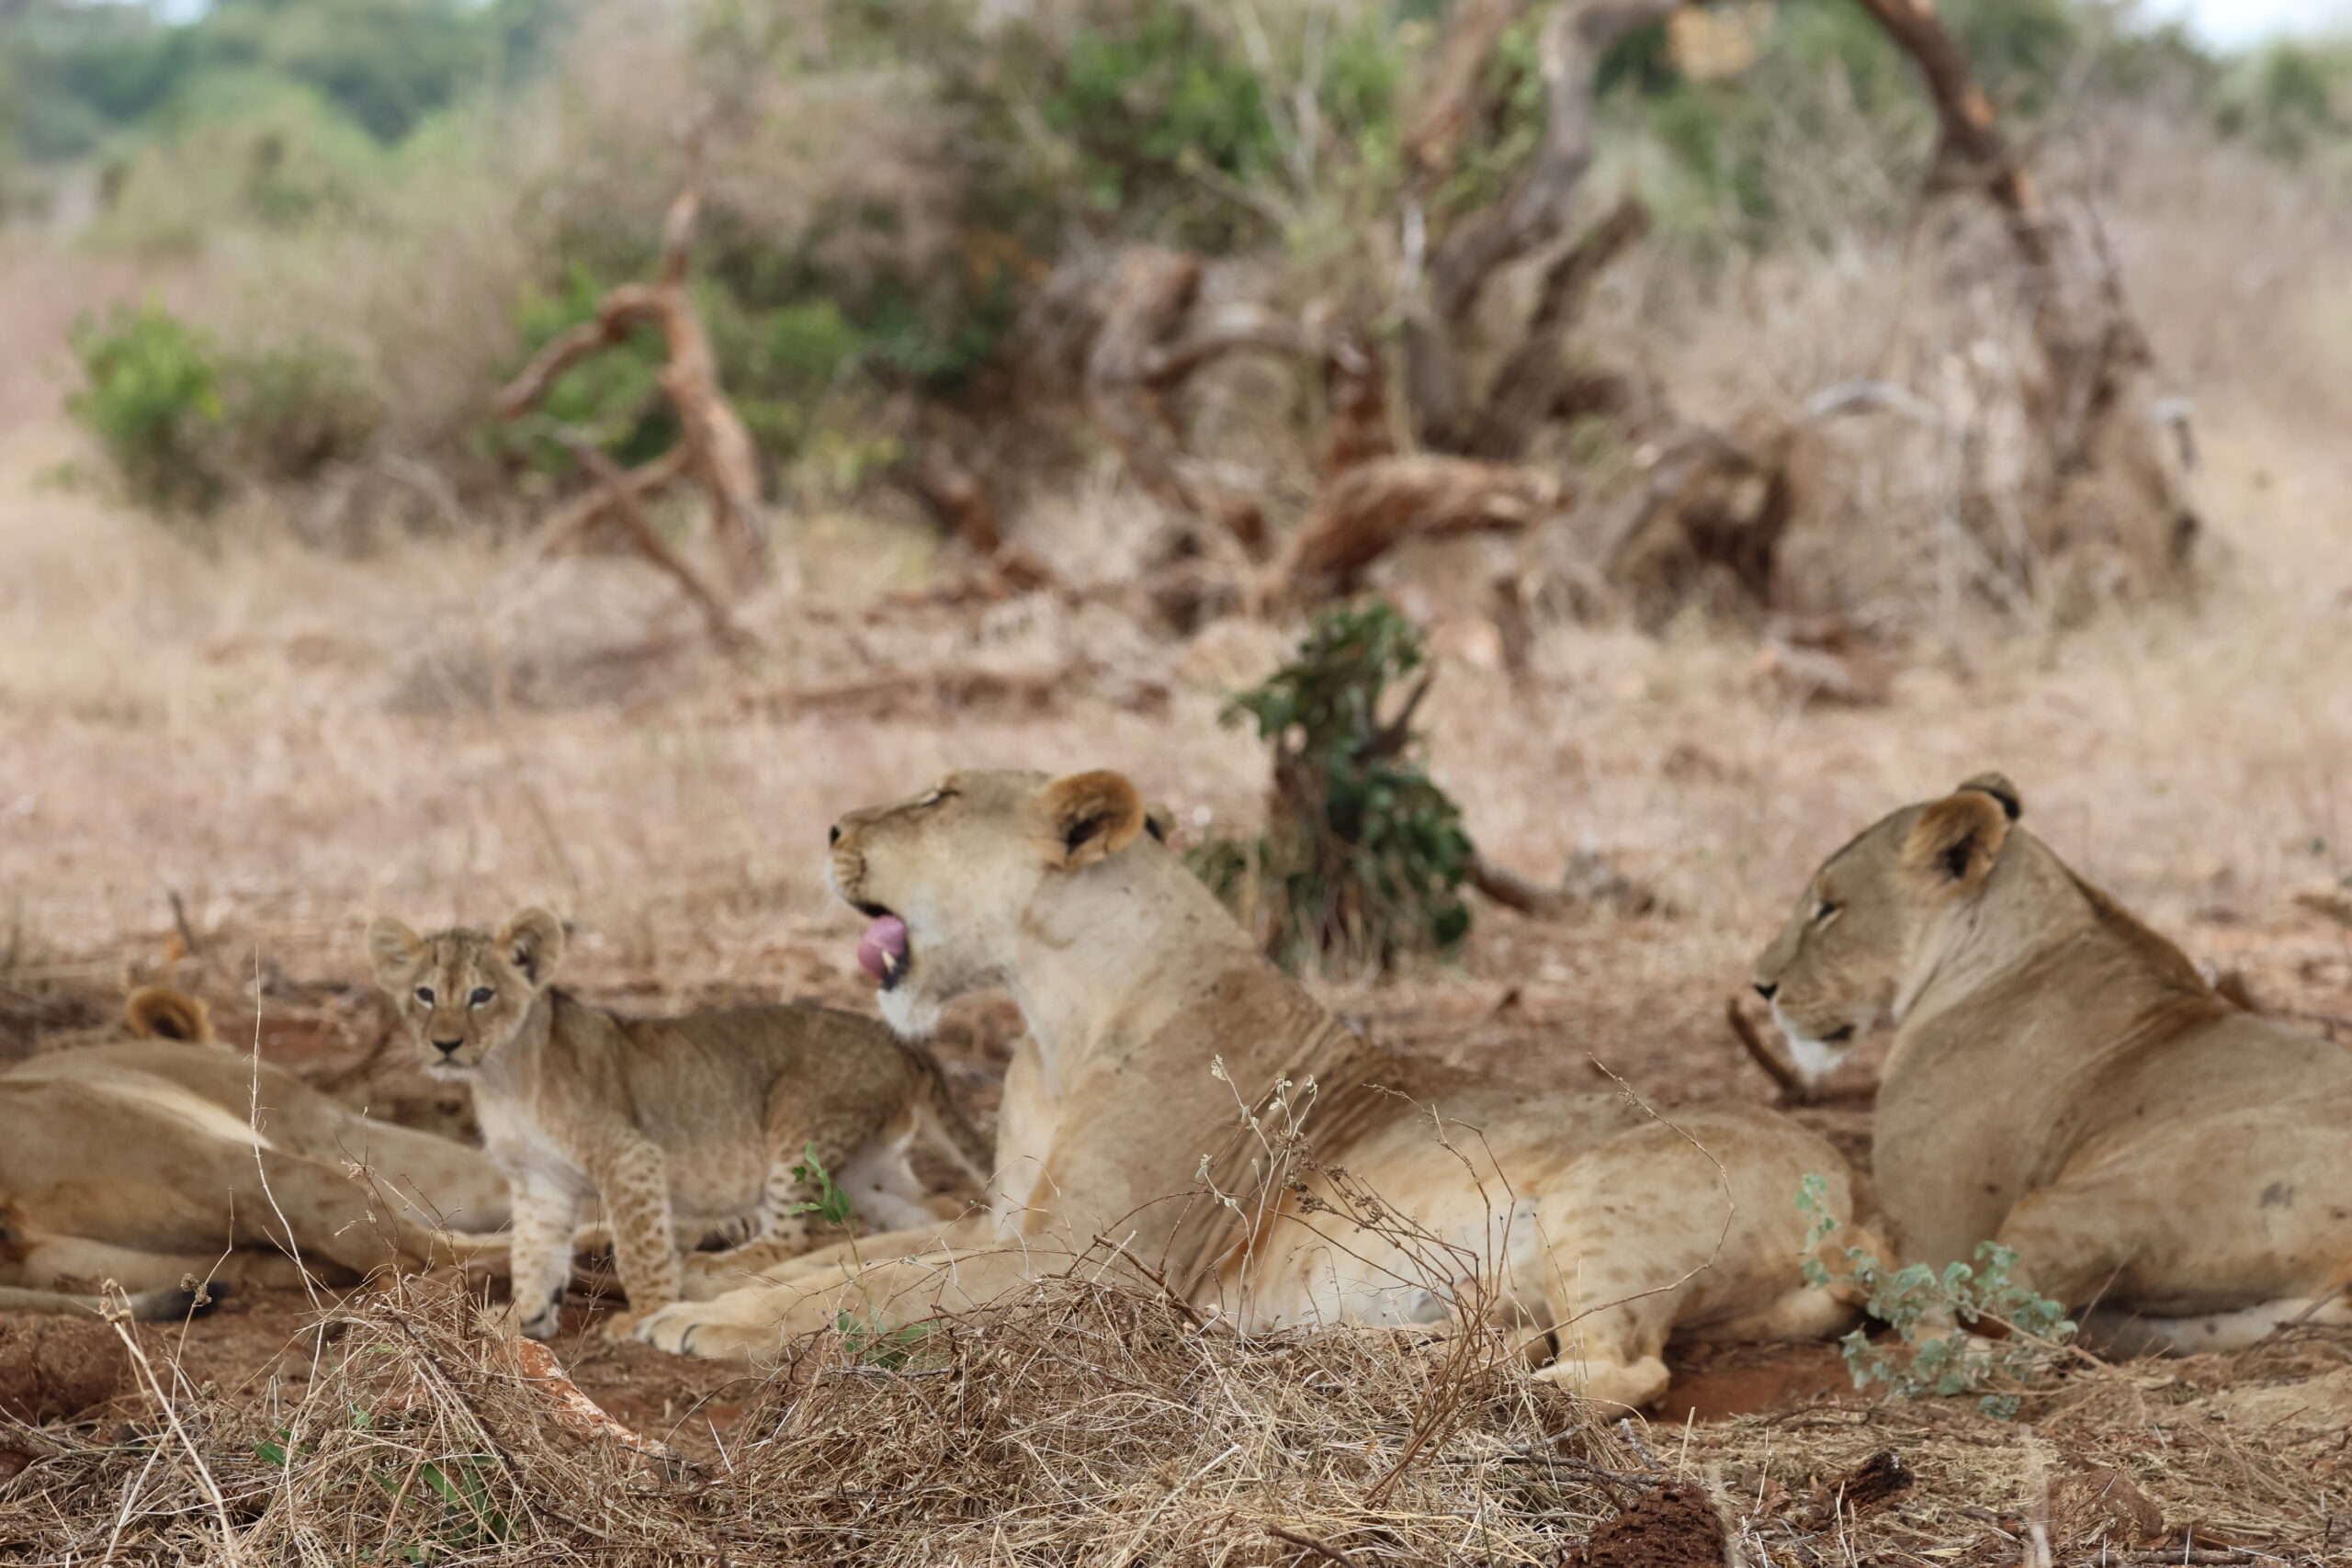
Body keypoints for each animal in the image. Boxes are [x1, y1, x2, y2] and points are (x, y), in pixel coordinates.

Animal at [366, 909, 992, 1340]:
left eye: (482, 995)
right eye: (424, 995)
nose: (445, 1045)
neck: (501, 1076)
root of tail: (899, 1039)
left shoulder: (630, 1156)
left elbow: (639, 1246)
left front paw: (645, 1314)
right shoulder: (539, 1179)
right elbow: (533, 1253)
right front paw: (526, 1316)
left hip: (796, 1125)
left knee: (787, 1236)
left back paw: (714, 1265)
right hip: (868, 1167)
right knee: (938, 1209)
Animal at [623, 768, 1873, 1410]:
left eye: (938, 795)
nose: (830, 825)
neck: (1056, 1014)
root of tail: (1856, 1207)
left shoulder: (1081, 1262)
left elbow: (870, 1293)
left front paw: (708, 1325)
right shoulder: (1007, 1222)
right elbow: (848, 1259)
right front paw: (697, 1295)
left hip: (1595, 1200)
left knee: (1613, 1370)